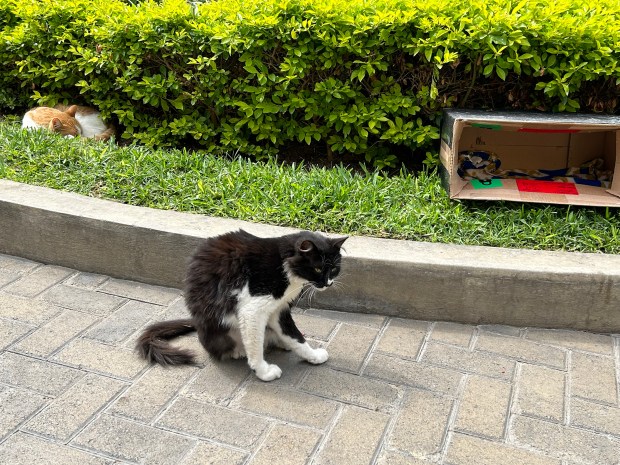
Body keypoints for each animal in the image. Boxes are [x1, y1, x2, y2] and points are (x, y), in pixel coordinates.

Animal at [137, 228, 348, 380]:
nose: (328, 283)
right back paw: (238, 351)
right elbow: (255, 345)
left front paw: (312, 355)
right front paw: (263, 371)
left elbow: (295, 336)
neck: (284, 264)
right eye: (318, 268)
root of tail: (196, 324)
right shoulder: (252, 309)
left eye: (334, 269)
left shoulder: (278, 309)